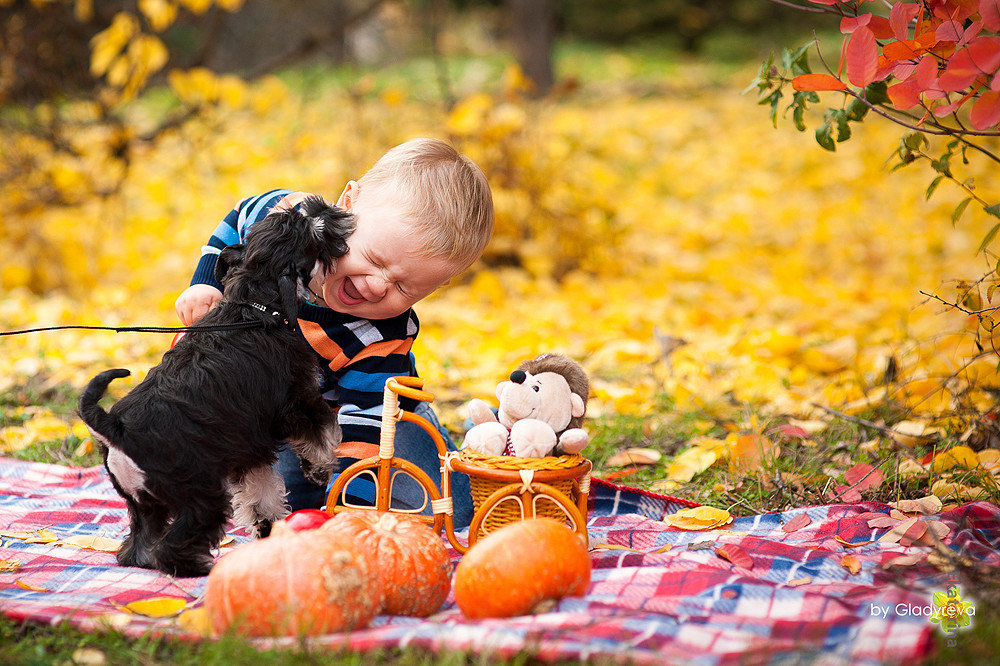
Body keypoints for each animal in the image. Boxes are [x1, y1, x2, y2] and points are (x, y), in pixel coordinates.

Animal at [79, 195, 352, 572]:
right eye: (309, 229)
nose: (318, 203)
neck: (256, 307)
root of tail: (113, 427)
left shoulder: (249, 448)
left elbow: (260, 493)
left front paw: (267, 524)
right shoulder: (298, 403)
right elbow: (324, 432)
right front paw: (320, 470)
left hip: (145, 503)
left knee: (139, 544)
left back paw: (144, 559)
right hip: (200, 493)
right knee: (174, 544)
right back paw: (201, 568)